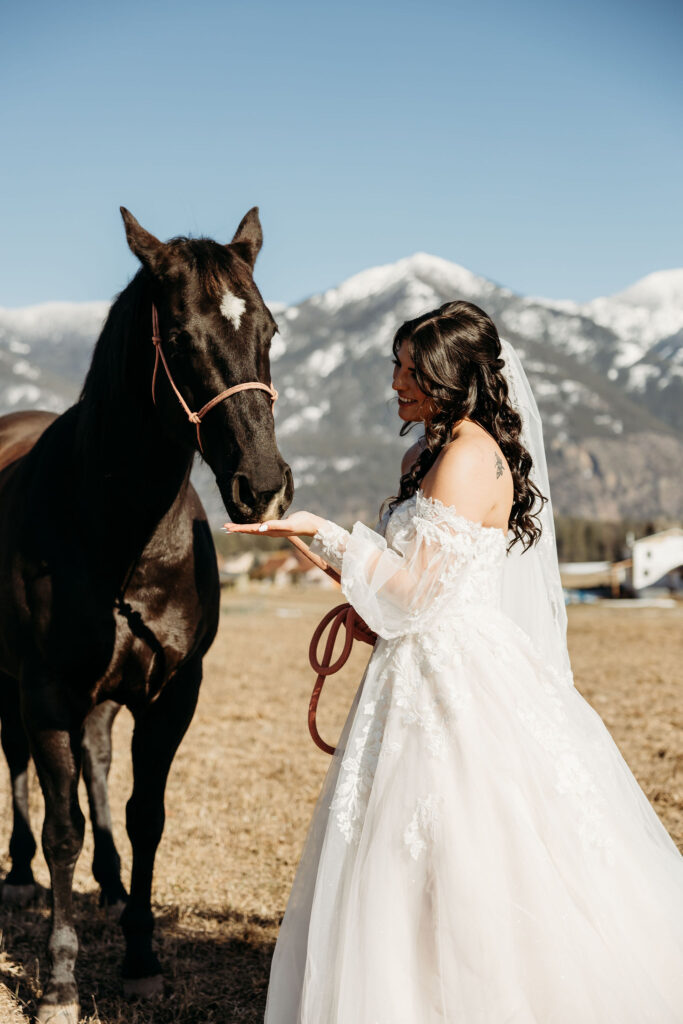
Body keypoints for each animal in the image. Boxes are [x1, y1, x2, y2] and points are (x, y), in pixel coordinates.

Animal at [0, 203, 290, 1019]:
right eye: (184, 338)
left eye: (268, 329)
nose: (263, 486)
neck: (118, 534)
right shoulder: (46, 692)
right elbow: (61, 826)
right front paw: (61, 981)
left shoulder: (172, 693)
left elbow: (144, 816)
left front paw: (139, 953)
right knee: (20, 767)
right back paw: (21, 875)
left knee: (98, 768)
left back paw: (108, 881)